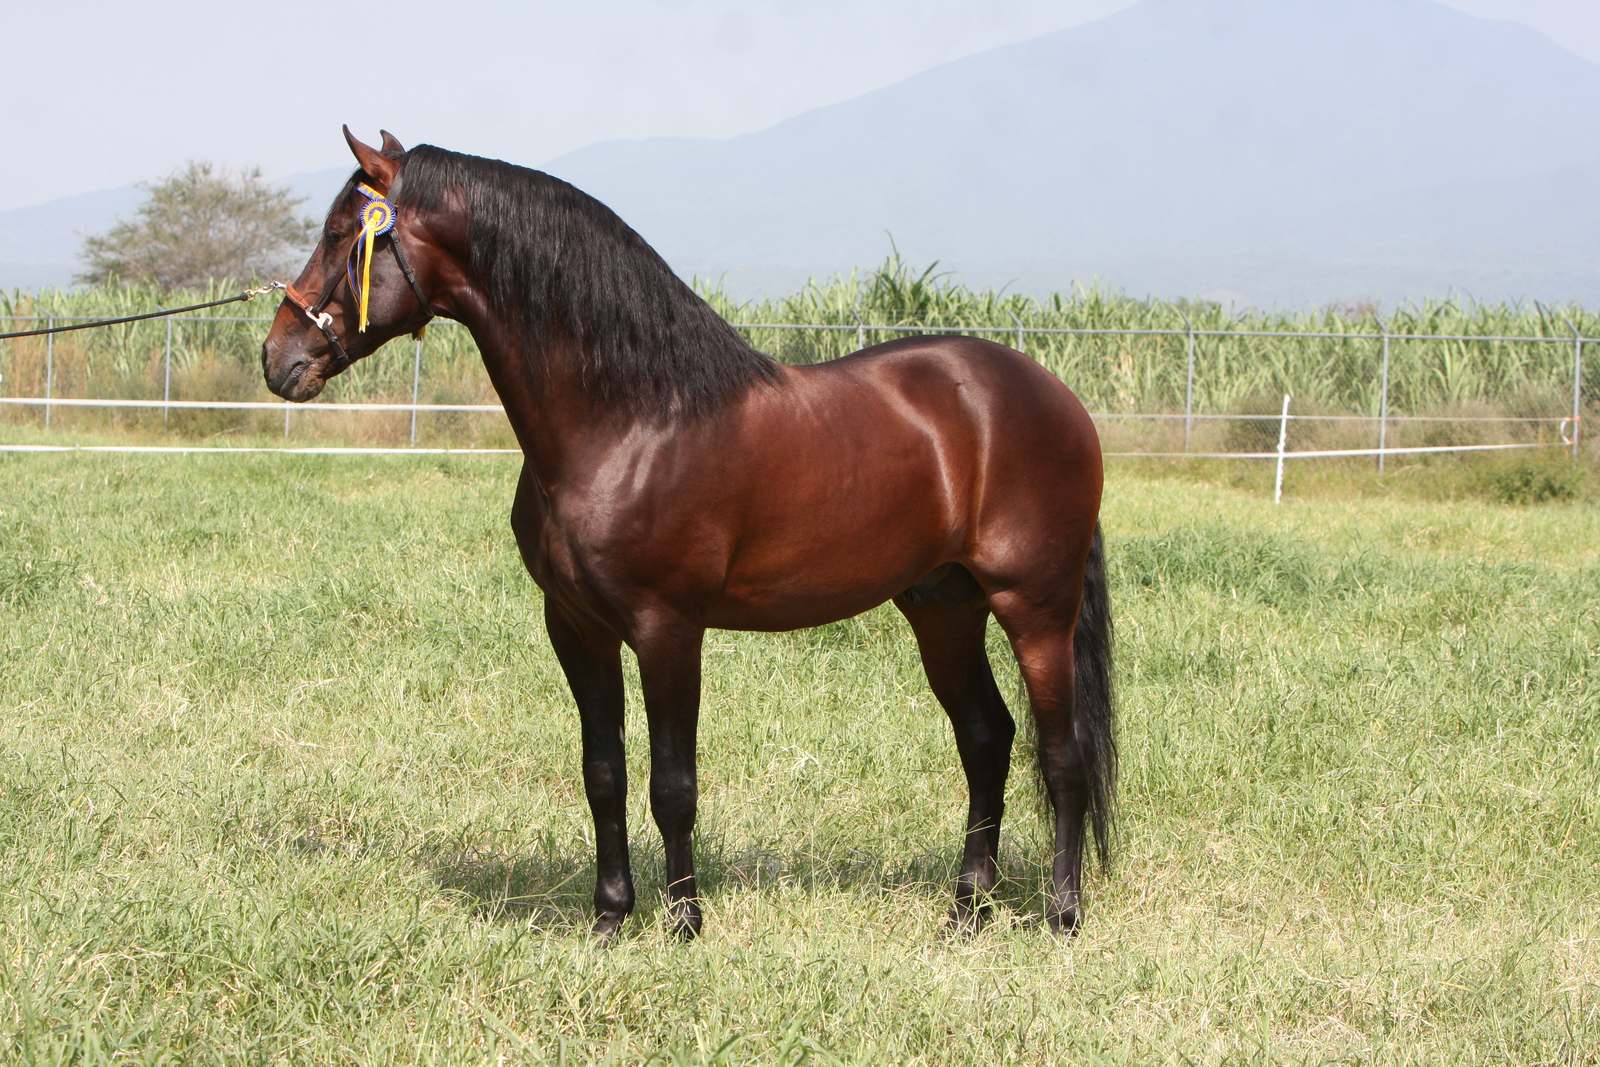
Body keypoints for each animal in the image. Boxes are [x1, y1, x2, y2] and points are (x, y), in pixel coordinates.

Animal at [261, 127, 1116, 941]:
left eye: (347, 235)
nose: (279, 358)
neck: (632, 419)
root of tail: (1054, 395)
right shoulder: (577, 625)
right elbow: (603, 773)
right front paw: (609, 916)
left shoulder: (667, 626)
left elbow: (673, 782)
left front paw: (683, 921)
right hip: (943, 607)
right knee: (987, 739)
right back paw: (967, 909)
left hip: (1035, 608)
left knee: (1062, 754)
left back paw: (1063, 914)